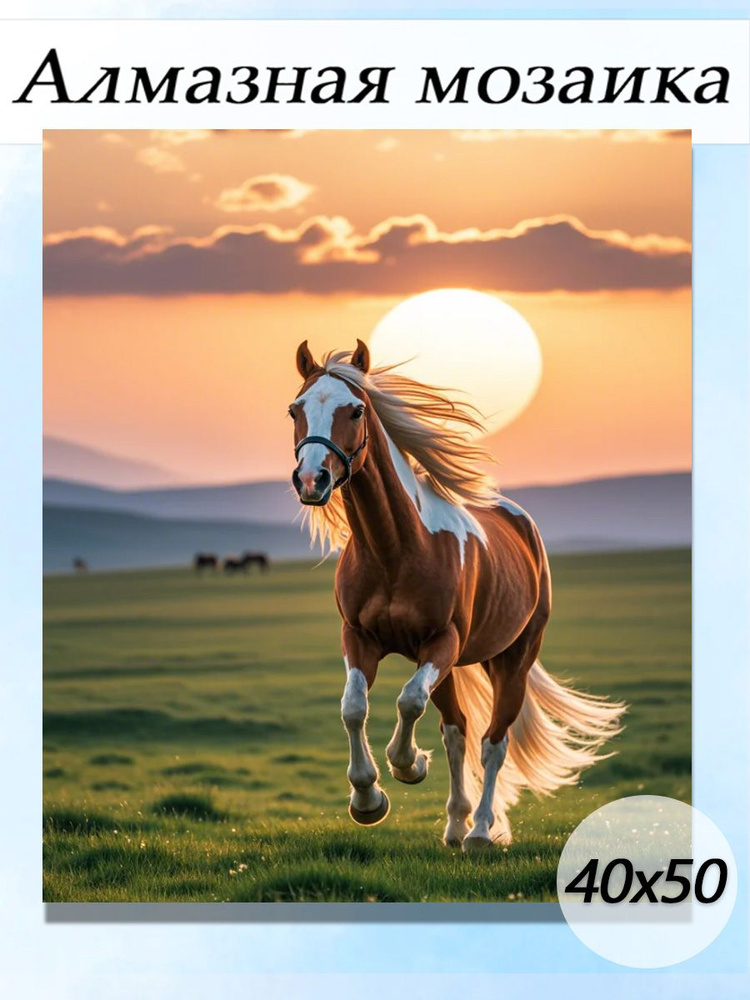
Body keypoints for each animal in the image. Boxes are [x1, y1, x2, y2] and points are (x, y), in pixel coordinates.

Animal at [289, 339, 625, 849]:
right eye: (295, 410)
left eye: (356, 410)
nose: (312, 481)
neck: (395, 550)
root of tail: (520, 523)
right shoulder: (359, 639)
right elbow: (354, 707)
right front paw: (368, 800)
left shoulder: (441, 642)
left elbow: (409, 701)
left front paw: (408, 765)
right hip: (452, 666)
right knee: (456, 731)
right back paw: (454, 824)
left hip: (511, 659)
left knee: (492, 741)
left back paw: (481, 829)